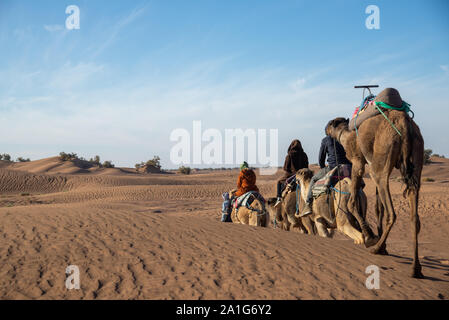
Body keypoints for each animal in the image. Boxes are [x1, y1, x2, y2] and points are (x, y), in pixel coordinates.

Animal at [326, 88, 424, 278]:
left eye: (331, 122)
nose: (325, 127)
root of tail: (405, 125)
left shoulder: (358, 162)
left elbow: (352, 202)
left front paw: (370, 237)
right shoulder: (371, 164)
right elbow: (378, 207)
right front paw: (380, 241)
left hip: (382, 160)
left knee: (392, 213)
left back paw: (376, 248)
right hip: (416, 159)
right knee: (414, 217)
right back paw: (415, 268)